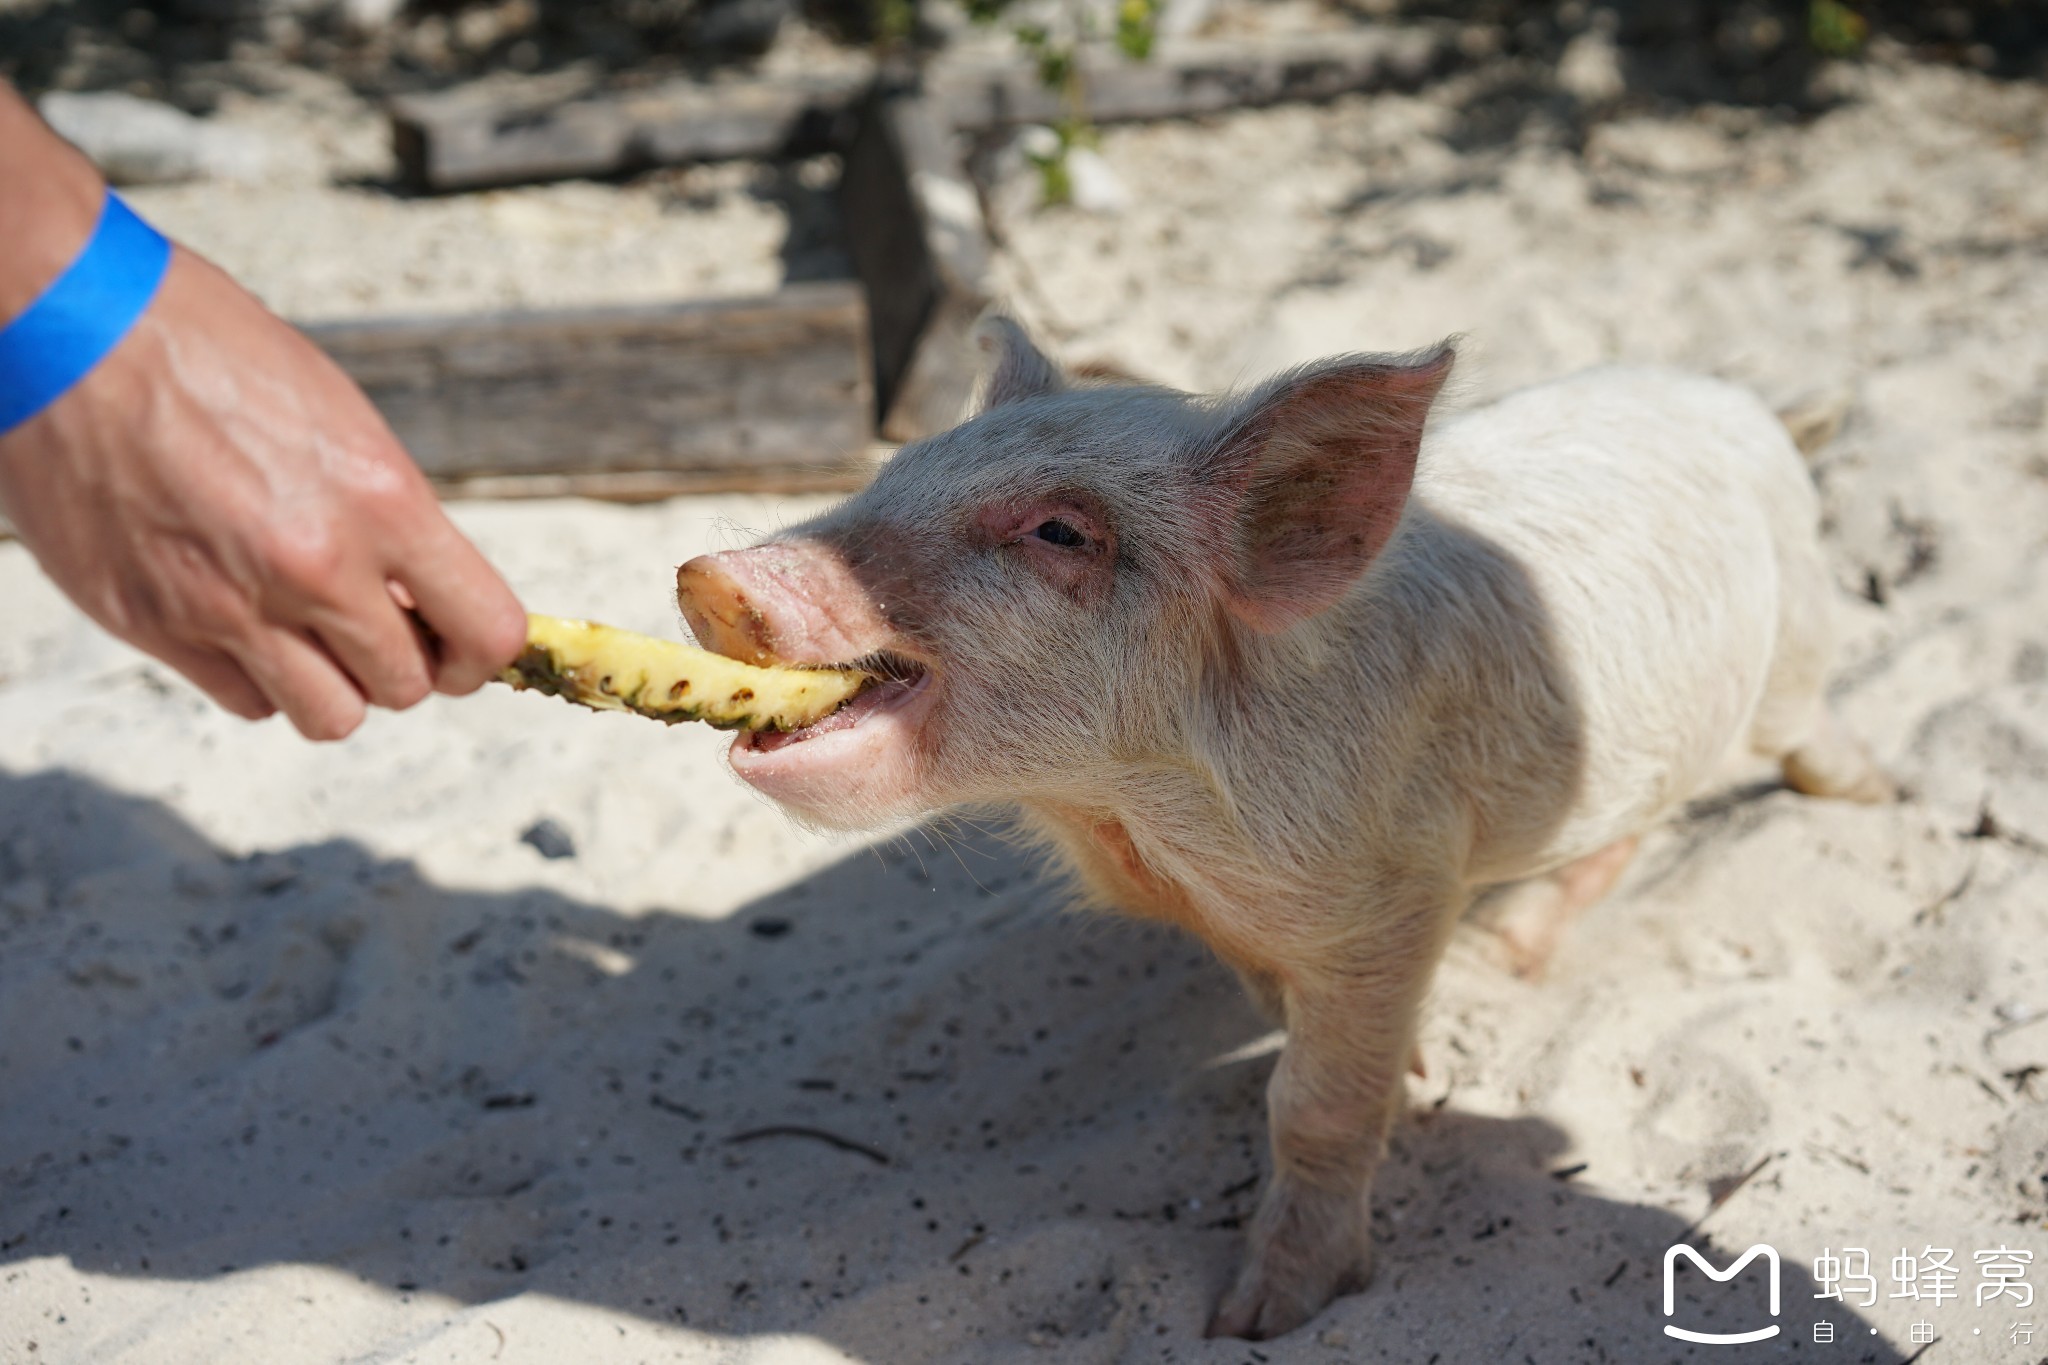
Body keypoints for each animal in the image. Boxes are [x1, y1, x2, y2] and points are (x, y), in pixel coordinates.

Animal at [671, 323, 1884, 1342]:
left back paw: (1872, 795)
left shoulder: (1394, 891)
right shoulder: (1242, 917)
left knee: (1803, 732)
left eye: (1061, 530)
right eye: (890, 474)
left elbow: (1312, 1100)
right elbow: (1277, 1009)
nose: (711, 574)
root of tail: (1742, 400)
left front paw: (1255, 1319)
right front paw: (1418, 1069)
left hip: (1800, 642)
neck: (1134, 821)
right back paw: (1507, 952)